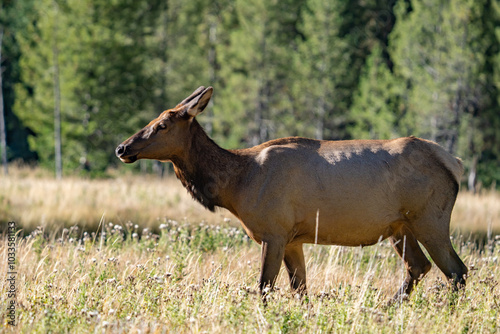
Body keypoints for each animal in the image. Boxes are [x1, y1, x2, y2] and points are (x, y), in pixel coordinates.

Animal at [117, 87, 468, 302]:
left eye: (162, 125)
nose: (122, 147)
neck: (235, 186)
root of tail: (455, 162)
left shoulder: (273, 232)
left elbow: (264, 288)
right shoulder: (293, 240)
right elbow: (301, 291)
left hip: (430, 219)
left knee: (456, 271)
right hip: (399, 227)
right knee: (419, 267)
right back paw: (387, 307)